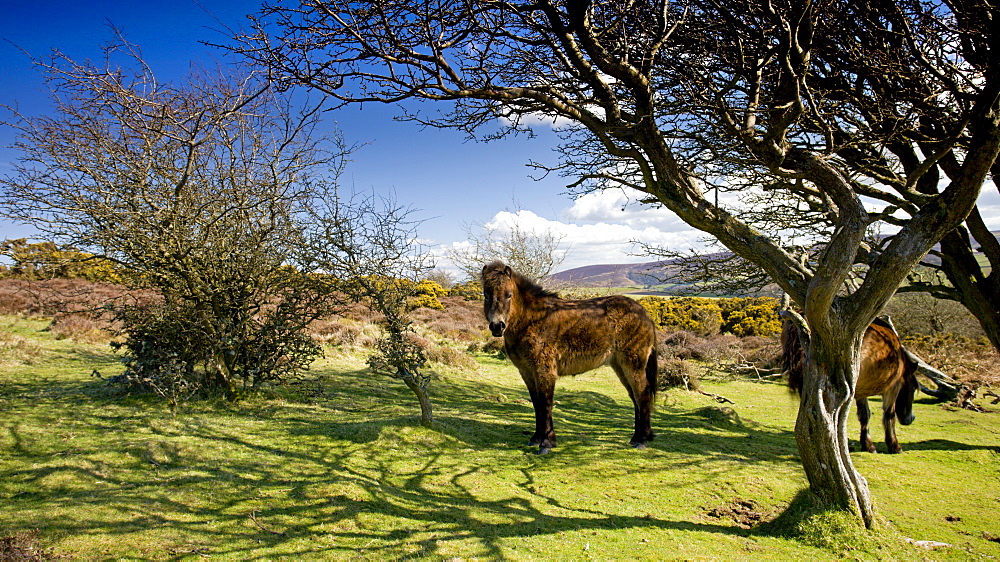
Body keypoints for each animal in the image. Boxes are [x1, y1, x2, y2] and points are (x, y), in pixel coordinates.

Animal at [482, 260, 660, 452]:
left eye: (509, 295)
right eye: (486, 294)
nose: (497, 326)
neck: (532, 320)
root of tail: (643, 313)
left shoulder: (544, 372)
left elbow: (545, 404)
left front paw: (546, 443)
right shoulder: (527, 372)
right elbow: (537, 404)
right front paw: (536, 438)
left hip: (633, 364)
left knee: (642, 394)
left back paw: (641, 440)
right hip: (620, 366)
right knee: (635, 397)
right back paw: (638, 437)